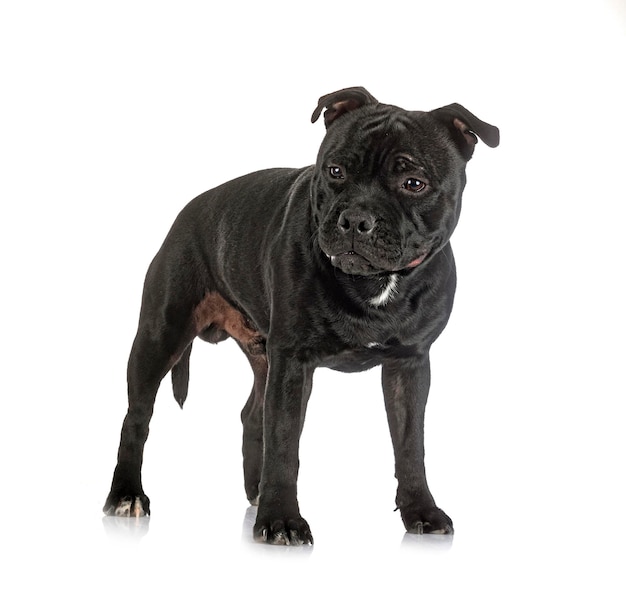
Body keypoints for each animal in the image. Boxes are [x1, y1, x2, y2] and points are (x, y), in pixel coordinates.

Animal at [105, 85, 500, 544]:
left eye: (413, 183)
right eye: (335, 171)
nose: (356, 219)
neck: (374, 283)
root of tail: (187, 209)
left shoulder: (409, 364)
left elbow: (410, 445)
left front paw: (422, 510)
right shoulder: (293, 363)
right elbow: (283, 442)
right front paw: (281, 519)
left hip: (263, 358)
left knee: (251, 414)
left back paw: (254, 491)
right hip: (159, 336)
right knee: (137, 418)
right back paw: (126, 495)